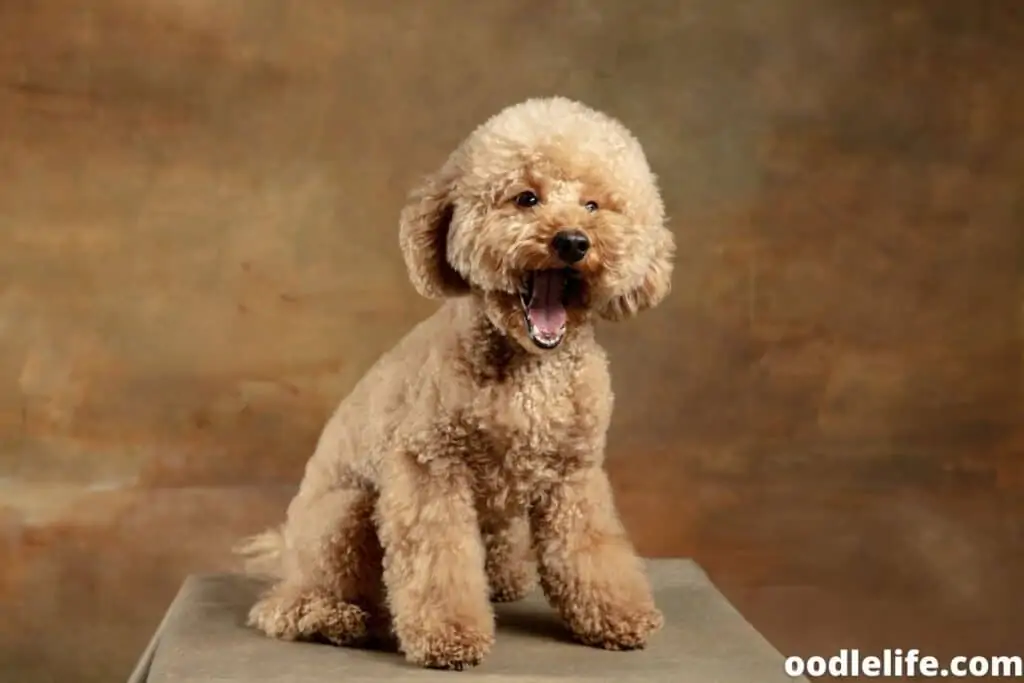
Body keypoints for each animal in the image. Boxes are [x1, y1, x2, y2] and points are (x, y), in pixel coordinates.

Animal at [235, 94, 675, 667]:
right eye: (526, 198)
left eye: (594, 206)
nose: (573, 241)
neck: (529, 366)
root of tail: (284, 548)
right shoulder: (429, 470)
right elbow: (438, 562)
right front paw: (448, 635)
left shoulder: (573, 475)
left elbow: (591, 550)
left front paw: (619, 617)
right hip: (344, 516)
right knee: (286, 606)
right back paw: (336, 618)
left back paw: (503, 581)